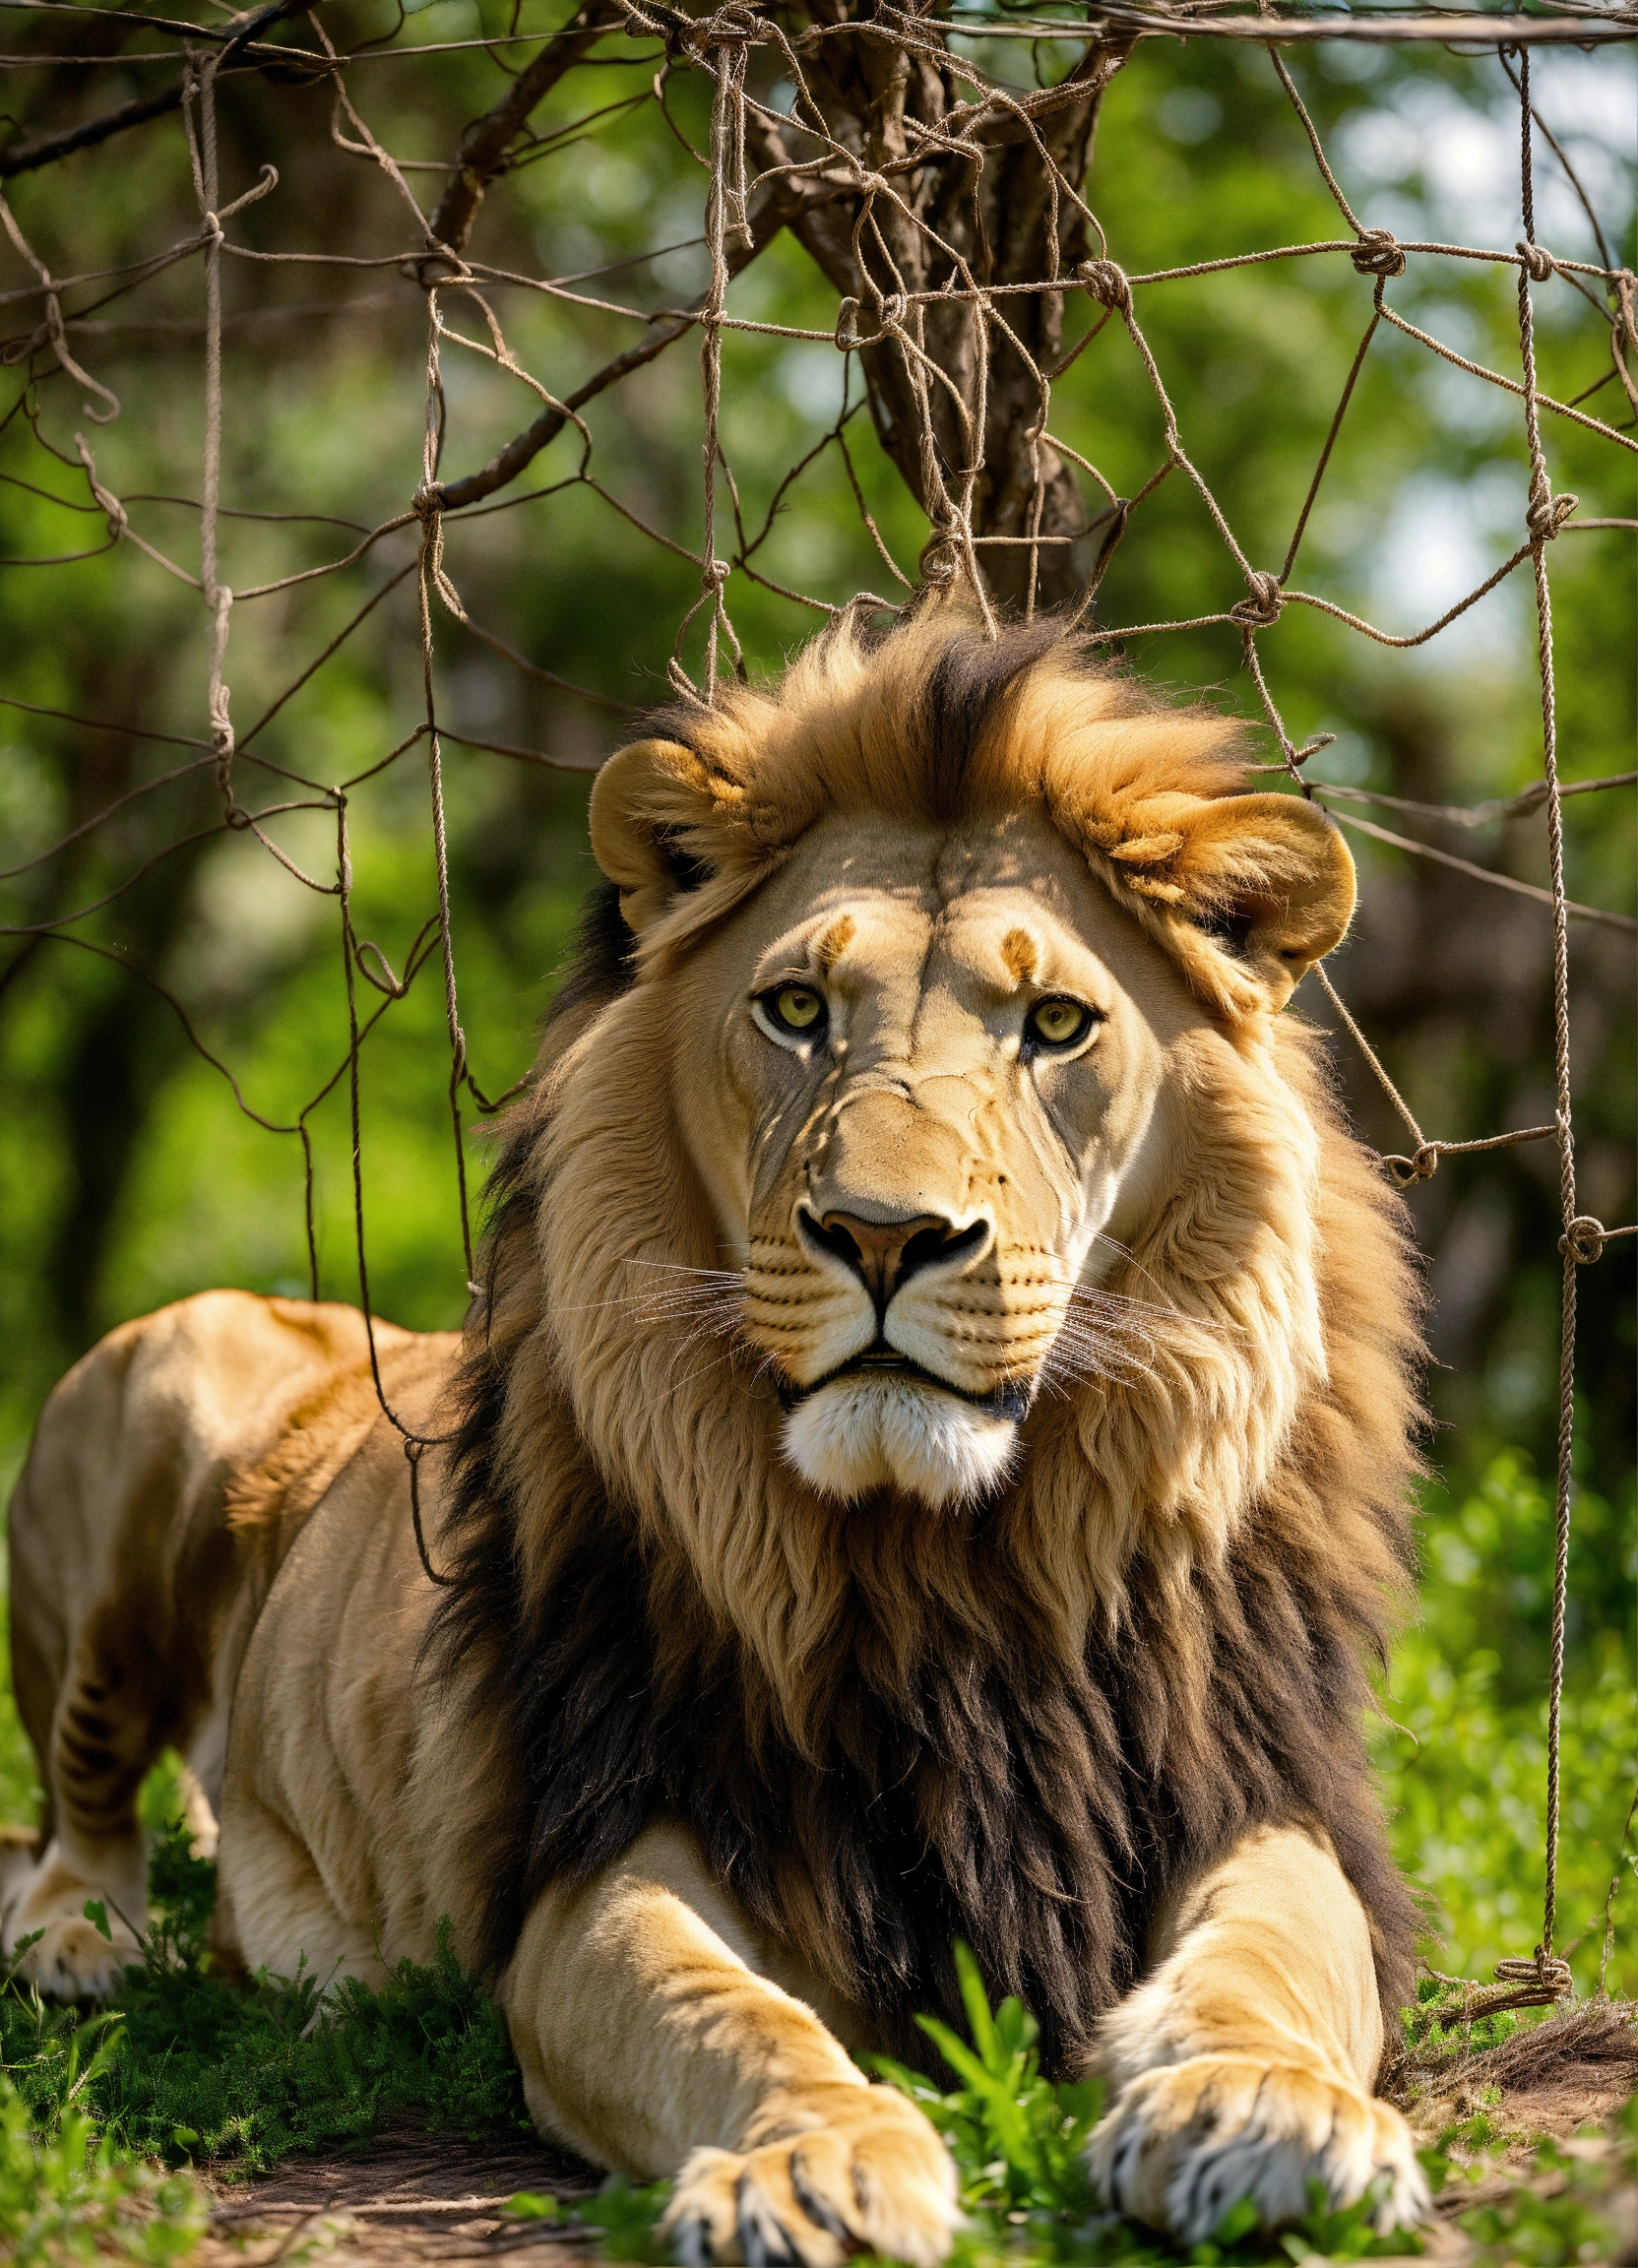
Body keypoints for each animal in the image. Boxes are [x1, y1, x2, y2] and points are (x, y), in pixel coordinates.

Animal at [4, 607, 1431, 2257]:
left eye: (1058, 1025)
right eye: (798, 1009)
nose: (884, 1235)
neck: (948, 1567)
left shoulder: (1249, 1788)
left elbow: (1276, 1963)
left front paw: (1264, 2110)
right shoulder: (605, 1845)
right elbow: (718, 2011)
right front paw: (817, 2163)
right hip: (167, 1385)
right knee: (74, 1802)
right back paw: (80, 1943)